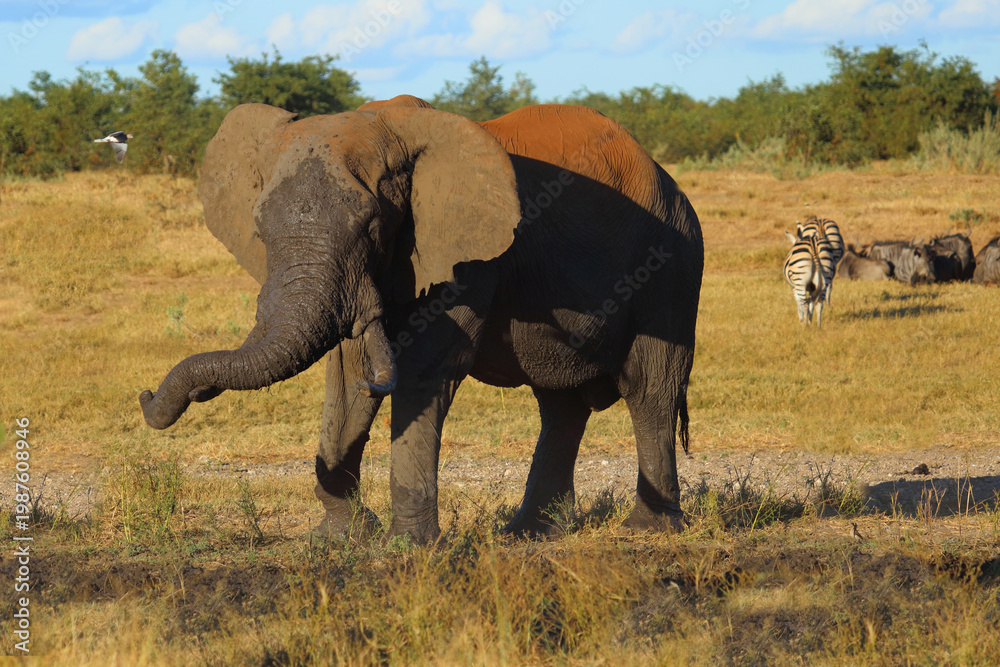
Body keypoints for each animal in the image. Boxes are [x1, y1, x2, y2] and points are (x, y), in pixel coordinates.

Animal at [139, 95, 704, 543]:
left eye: (373, 226)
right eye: (258, 230)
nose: (150, 399)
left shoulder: (464, 255)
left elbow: (425, 367)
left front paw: (409, 548)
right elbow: (346, 375)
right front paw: (342, 538)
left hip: (672, 266)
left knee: (651, 388)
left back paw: (648, 530)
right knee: (561, 404)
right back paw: (528, 534)